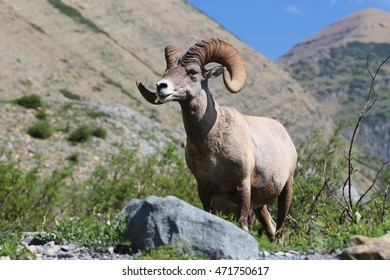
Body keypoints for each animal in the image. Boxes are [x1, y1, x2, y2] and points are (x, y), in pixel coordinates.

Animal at [136, 37, 298, 241]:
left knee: (280, 228)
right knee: (271, 227)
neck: (212, 149)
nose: (161, 87)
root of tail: (285, 134)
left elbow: (243, 223)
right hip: (260, 206)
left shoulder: (243, 185)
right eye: (166, 72)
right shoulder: (204, 188)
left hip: (286, 189)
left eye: (192, 72)